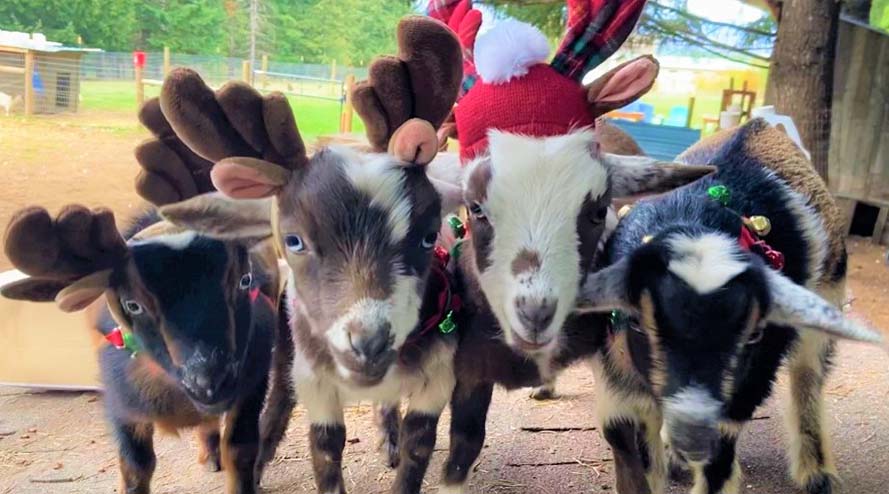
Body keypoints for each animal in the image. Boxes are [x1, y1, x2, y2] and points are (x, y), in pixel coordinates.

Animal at [576, 119, 880, 494]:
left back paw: (818, 475)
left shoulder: (754, 372)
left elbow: (720, 453)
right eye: (637, 323)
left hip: (825, 301)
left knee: (808, 377)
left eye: (753, 334)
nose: (691, 439)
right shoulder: (618, 371)